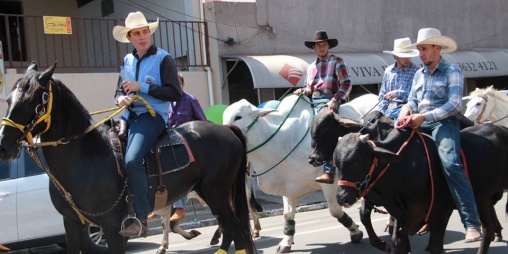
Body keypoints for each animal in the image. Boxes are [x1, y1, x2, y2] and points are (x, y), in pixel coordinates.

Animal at [0, 62, 256, 254]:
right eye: (9, 99)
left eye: (34, 100)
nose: (4, 145)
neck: (85, 157)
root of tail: (226, 129)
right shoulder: (72, 224)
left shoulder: (113, 227)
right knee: (230, 230)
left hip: (216, 192)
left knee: (236, 230)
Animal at [222, 93, 378, 252]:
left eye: (238, 117)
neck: (282, 141)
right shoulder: (288, 187)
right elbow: (288, 215)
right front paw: (286, 242)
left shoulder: (331, 183)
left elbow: (335, 210)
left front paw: (355, 231)